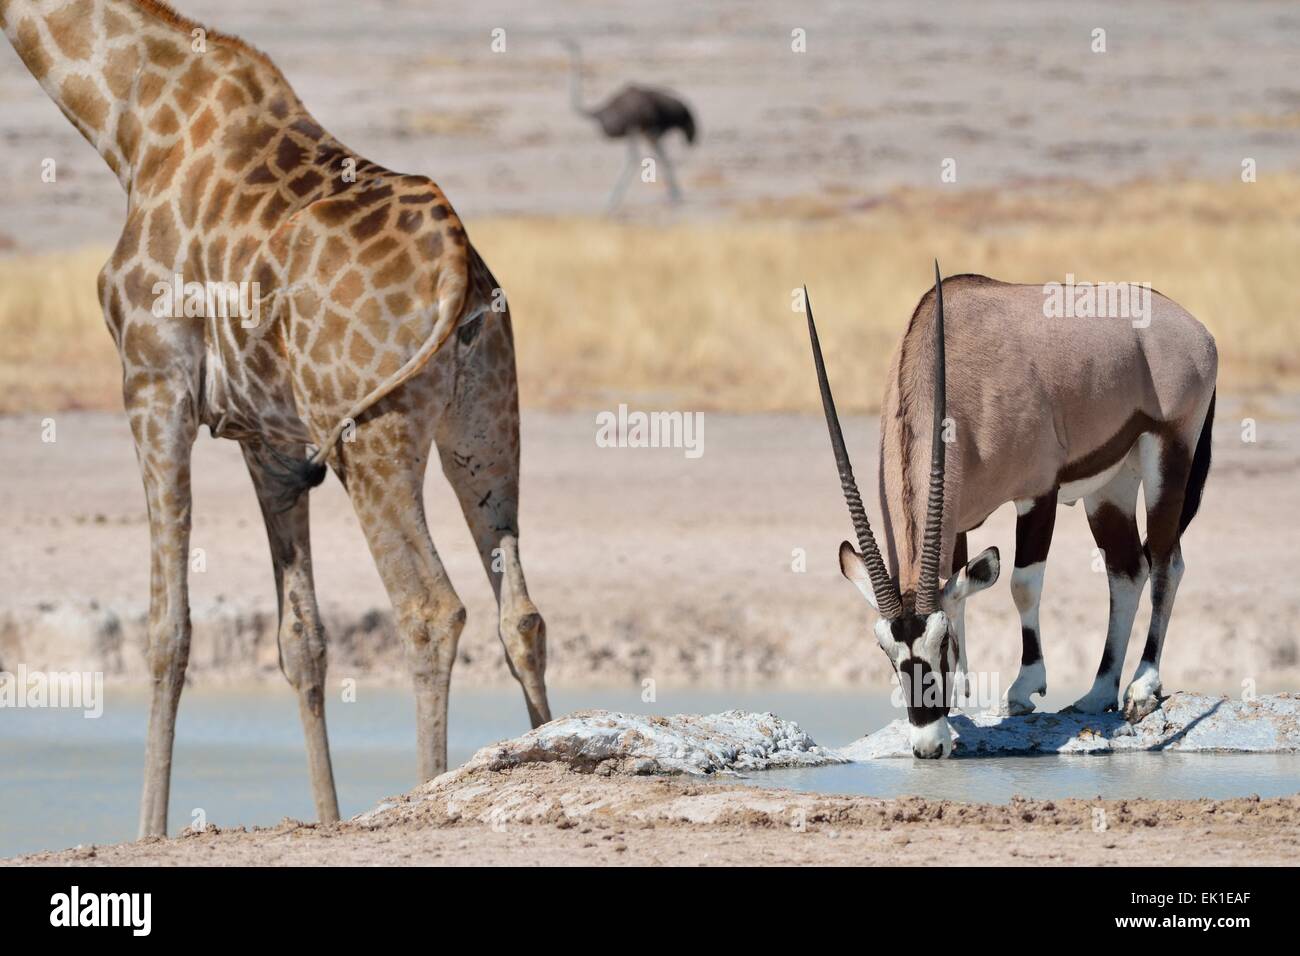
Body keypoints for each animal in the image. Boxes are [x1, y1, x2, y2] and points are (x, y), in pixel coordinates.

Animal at [0, 0, 551, 837]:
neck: (127, 123)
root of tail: (459, 264)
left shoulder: (152, 380)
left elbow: (168, 628)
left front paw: (150, 829)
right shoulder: (272, 442)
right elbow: (303, 640)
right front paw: (327, 820)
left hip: (372, 433)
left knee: (429, 608)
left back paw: (427, 799)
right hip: (486, 426)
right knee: (518, 612)